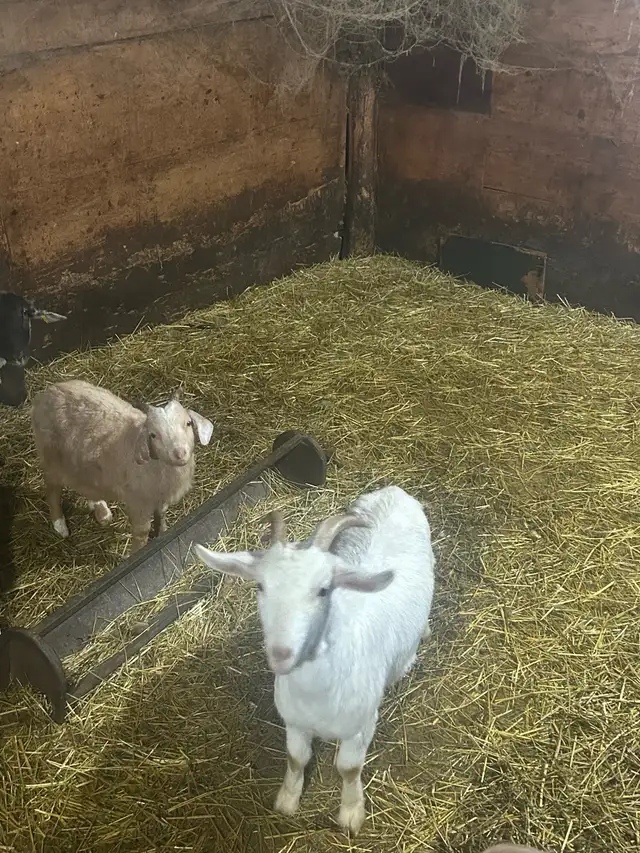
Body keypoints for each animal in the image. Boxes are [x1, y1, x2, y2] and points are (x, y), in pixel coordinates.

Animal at [31, 380, 214, 553]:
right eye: (153, 435)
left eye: (188, 423)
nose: (180, 453)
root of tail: (47, 392)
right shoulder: (138, 502)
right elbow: (142, 531)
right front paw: (138, 553)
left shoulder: (159, 496)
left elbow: (161, 517)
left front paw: (162, 534)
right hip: (51, 456)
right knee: (51, 487)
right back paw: (59, 524)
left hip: (84, 462)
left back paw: (101, 511)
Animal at [193, 484, 435, 835]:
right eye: (259, 585)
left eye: (323, 590)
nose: (281, 654)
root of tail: (393, 489)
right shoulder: (294, 721)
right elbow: (296, 758)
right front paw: (287, 799)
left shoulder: (360, 725)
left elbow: (348, 768)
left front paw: (351, 813)